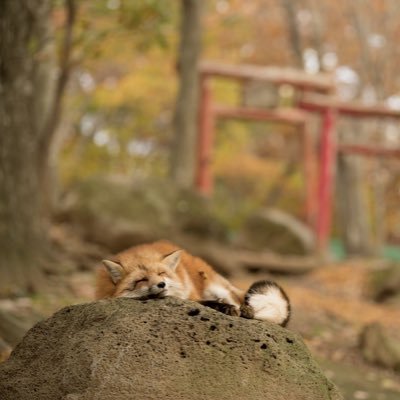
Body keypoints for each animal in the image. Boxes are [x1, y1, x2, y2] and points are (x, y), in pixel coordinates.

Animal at [97, 241, 290, 324]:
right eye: (142, 280)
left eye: (161, 273)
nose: (161, 284)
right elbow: (206, 303)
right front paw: (223, 307)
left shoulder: (191, 295)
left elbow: (207, 302)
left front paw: (226, 308)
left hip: (216, 285)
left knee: (237, 299)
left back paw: (246, 309)